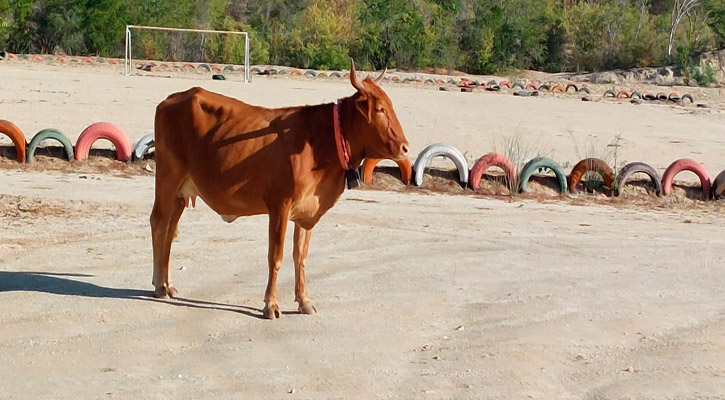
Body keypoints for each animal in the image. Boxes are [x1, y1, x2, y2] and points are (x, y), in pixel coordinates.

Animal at [150, 58, 410, 318]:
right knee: (159, 222)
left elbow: (300, 256)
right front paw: (271, 304)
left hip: (181, 191)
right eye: (380, 109)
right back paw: (159, 284)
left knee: (171, 229)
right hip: (168, 178)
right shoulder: (280, 206)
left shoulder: (306, 210)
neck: (319, 143)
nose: (405, 147)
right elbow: (276, 256)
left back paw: (168, 283)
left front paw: (304, 300)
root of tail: (175, 98)